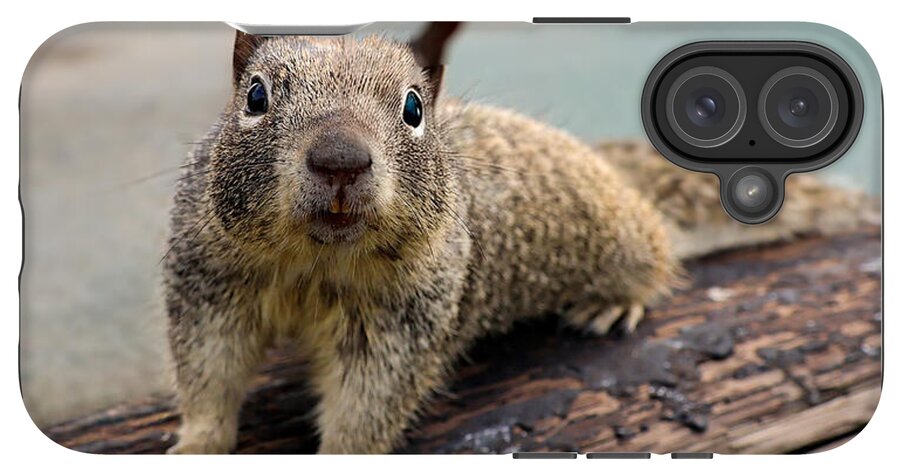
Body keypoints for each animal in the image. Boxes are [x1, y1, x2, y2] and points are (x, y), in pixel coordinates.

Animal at [164, 24, 874, 454]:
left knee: (656, 256)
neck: (316, 263)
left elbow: (367, 404)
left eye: (414, 108)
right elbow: (208, 372)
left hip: (622, 237)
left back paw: (614, 301)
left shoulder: (404, 320)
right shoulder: (209, 283)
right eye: (255, 96)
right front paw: (196, 442)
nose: (340, 159)